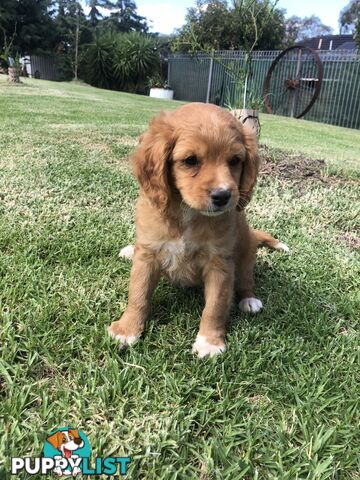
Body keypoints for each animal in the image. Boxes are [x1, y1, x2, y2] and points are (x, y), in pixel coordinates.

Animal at [107, 102, 286, 356]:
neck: (188, 214)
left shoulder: (220, 264)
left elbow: (215, 306)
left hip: (246, 253)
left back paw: (249, 300)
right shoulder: (148, 256)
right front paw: (127, 328)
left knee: (245, 280)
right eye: (191, 160)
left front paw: (209, 342)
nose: (223, 196)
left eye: (235, 160)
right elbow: (138, 294)